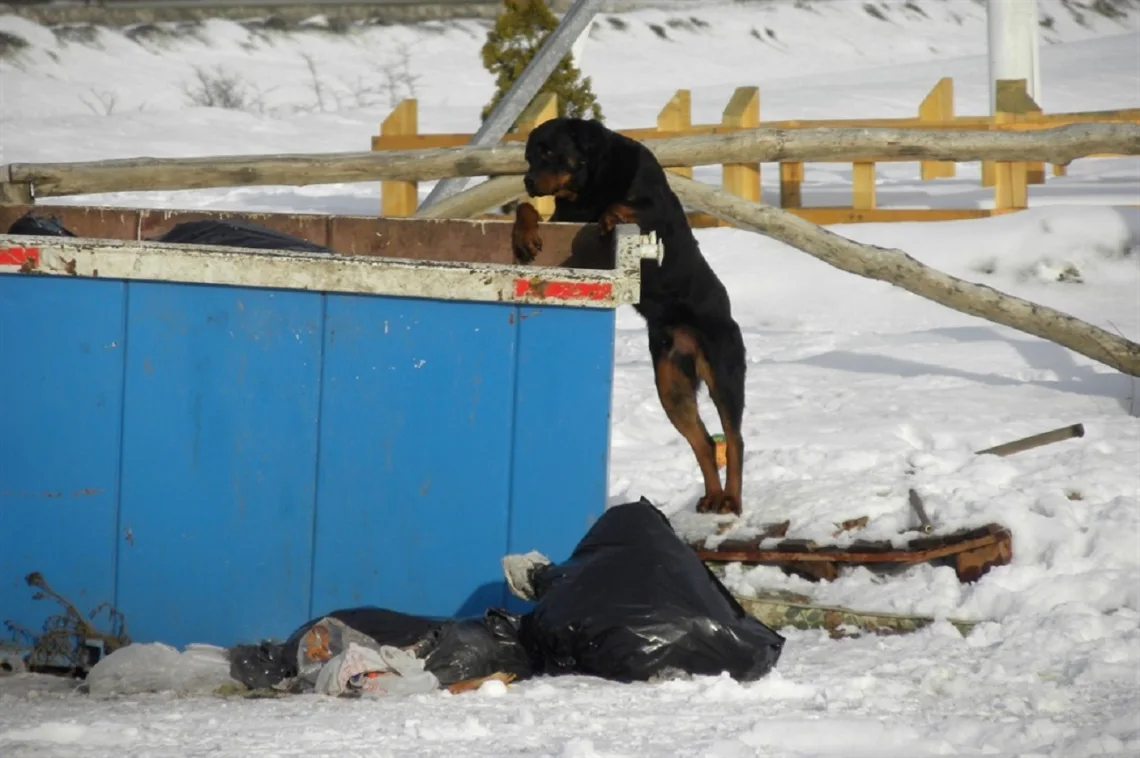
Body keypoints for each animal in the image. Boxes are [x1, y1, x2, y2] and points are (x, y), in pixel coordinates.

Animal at [515, 118, 747, 517]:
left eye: (549, 152)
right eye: (529, 156)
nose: (528, 180)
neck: (590, 183)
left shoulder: (657, 209)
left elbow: (624, 204)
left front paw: (609, 217)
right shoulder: (561, 217)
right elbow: (527, 210)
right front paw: (524, 236)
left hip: (723, 373)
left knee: (734, 438)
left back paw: (731, 499)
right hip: (671, 386)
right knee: (703, 442)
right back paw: (712, 497)